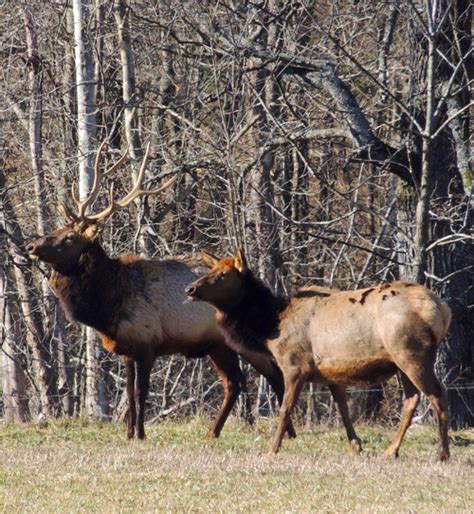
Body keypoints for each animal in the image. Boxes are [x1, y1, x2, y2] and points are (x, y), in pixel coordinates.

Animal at [26, 143, 296, 436]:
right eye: (58, 229)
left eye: (69, 238)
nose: (32, 246)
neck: (108, 305)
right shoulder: (127, 350)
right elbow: (129, 394)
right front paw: (129, 434)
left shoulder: (147, 342)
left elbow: (140, 393)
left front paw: (141, 434)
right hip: (218, 345)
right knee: (234, 382)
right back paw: (213, 432)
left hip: (245, 341)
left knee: (273, 374)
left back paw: (288, 433)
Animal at [185, 248, 452, 460]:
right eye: (212, 269)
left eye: (223, 275)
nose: (190, 288)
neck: (271, 325)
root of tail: (442, 309)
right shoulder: (332, 372)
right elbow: (343, 408)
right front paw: (356, 447)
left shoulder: (295, 366)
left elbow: (285, 409)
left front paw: (272, 450)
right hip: (402, 362)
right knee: (412, 400)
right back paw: (390, 451)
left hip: (413, 355)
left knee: (438, 395)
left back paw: (442, 453)